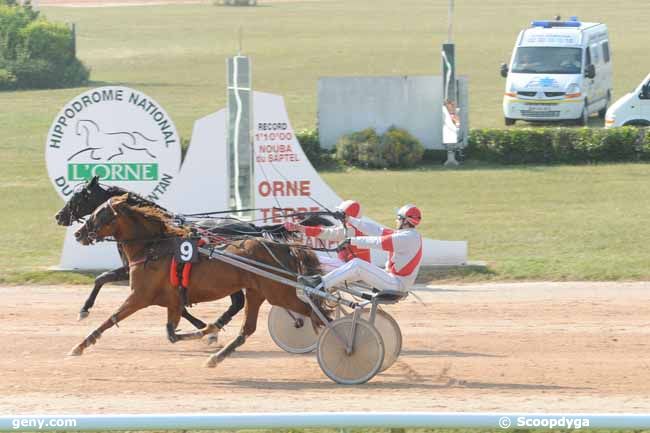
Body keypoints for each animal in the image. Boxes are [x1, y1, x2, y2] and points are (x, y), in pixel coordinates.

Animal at [71, 194, 326, 366]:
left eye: (98, 214)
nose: (78, 233)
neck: (154, 247)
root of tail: (279, 245)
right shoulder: (172, 300)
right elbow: (172, 333)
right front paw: (209, 330)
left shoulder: (139, 297)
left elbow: (111, 318)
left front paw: (81, 344)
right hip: (258, 292)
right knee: (248, 326)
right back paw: (217, 357)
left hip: (278, 291)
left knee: (312, 311)